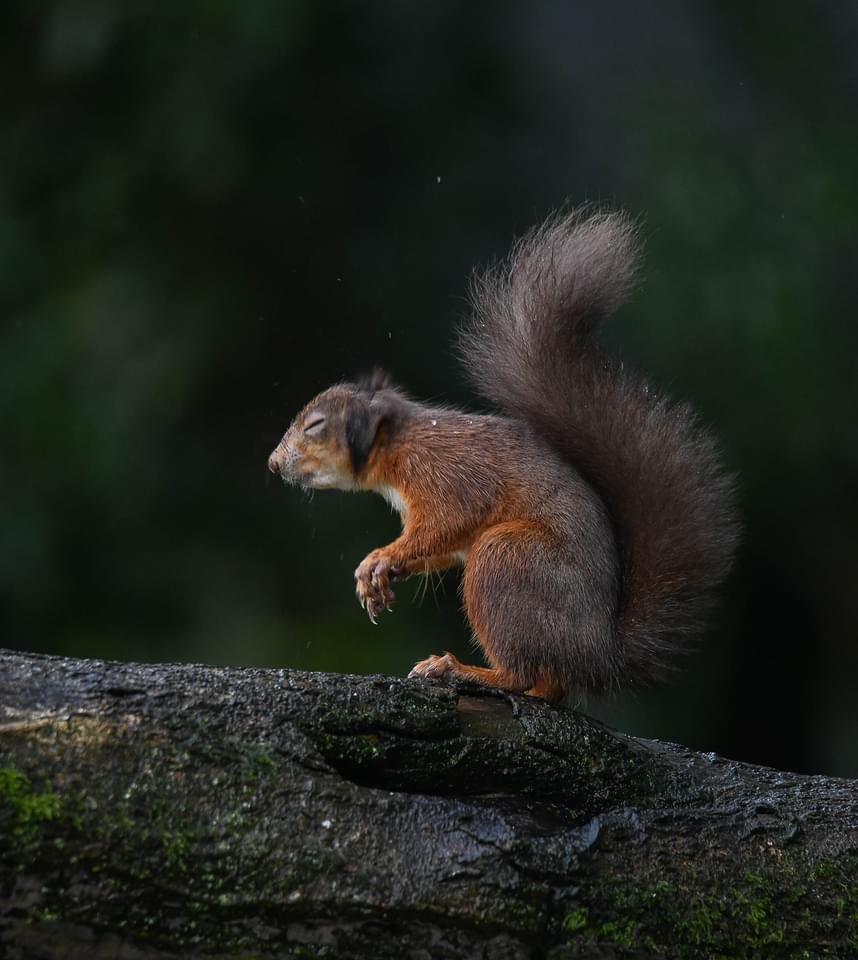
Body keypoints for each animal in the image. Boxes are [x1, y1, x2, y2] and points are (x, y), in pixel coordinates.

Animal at [266, 208, 736, 696]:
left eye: (316, 426)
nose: (273, 464)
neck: (401, 445)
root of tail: (597, 656)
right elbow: (440, 547)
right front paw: (376, 576)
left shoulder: (448, 475)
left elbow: (449, 521)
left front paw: (382, 558)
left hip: (507, 558)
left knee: (522, 674)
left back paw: (458, 669)